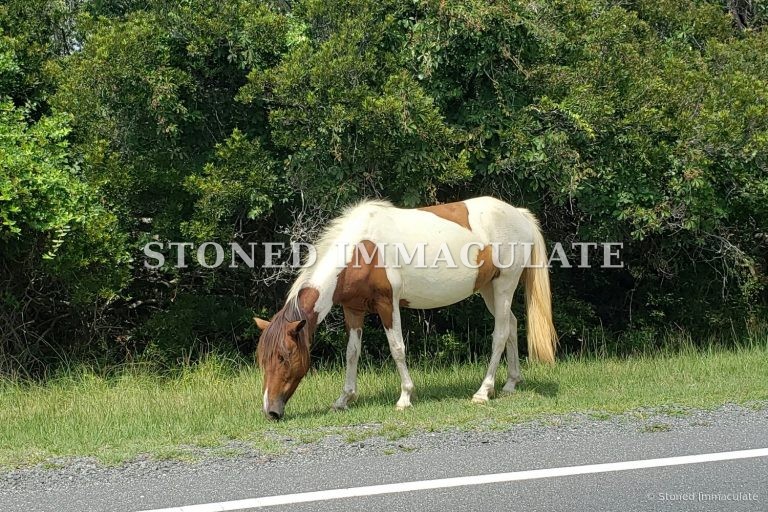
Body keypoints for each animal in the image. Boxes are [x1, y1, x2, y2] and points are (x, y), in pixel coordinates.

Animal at [254, 196, 557, 420]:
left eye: (283, 357)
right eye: (262, 359)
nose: (271, 411)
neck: (362, 249)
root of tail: (519, 214)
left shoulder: (388, 304)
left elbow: (397, 348)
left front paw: (405, 397)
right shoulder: (353, 310)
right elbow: (352, 353)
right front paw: (344, 399)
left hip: (504, 285)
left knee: (500, 335)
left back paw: (483, 391)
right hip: (489, 290)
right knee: (512, 325)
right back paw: (510, 384)